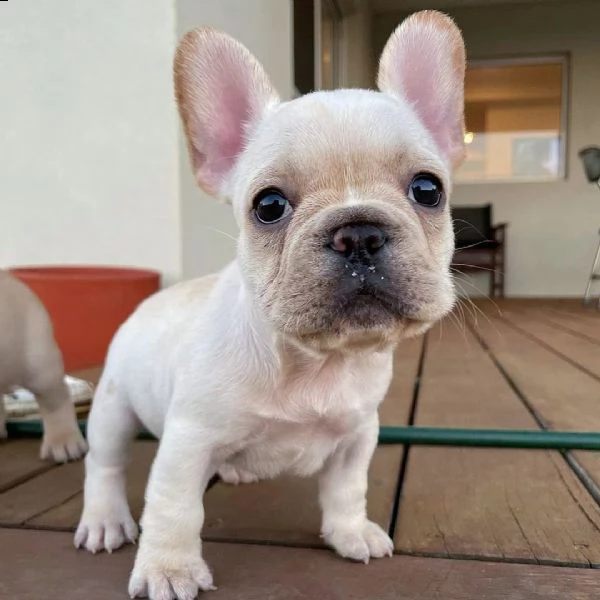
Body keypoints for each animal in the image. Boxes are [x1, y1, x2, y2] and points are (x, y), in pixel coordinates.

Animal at [75, 10, 466, 600]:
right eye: (269, 206)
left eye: (428, 190)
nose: (359, 233)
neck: (314, 363)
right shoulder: (188, 441)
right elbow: (175, 508)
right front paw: (169, 568)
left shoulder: (357, 435)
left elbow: (346, 489)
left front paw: (350, 532)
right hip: (114, 407)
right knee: (105, 464)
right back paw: (103, 519)